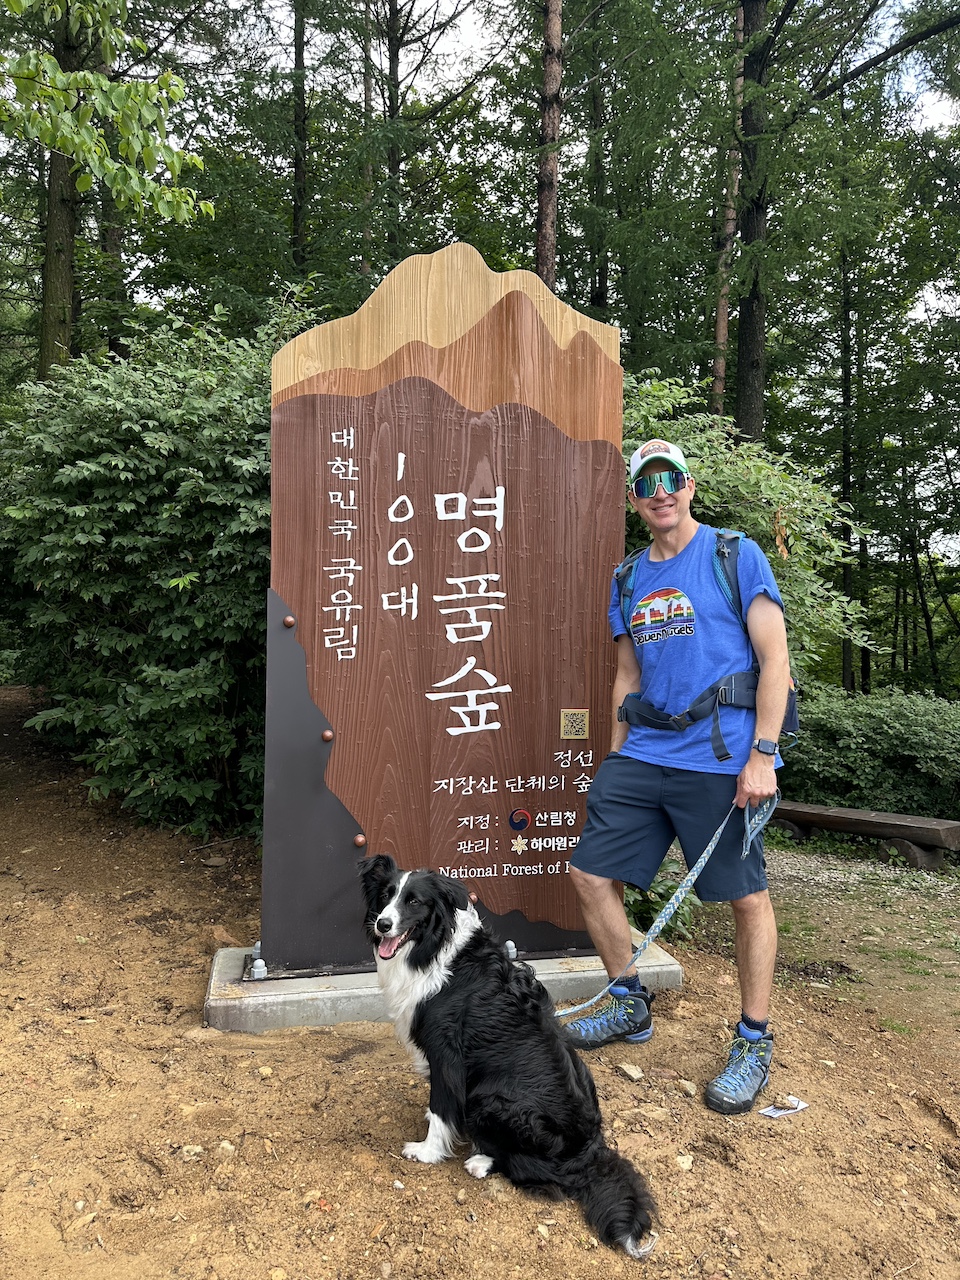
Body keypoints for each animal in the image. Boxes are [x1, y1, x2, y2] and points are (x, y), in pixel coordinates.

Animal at [360, 849, 660, 1259]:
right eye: (386, 895)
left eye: (414, 901)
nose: (383, 924)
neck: (435, 950)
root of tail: (591, 1152)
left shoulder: (446, 1054)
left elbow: (441, 1108)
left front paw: (427, 1150)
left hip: (491, 1099)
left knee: (540, 1172)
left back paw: (480, 1160)